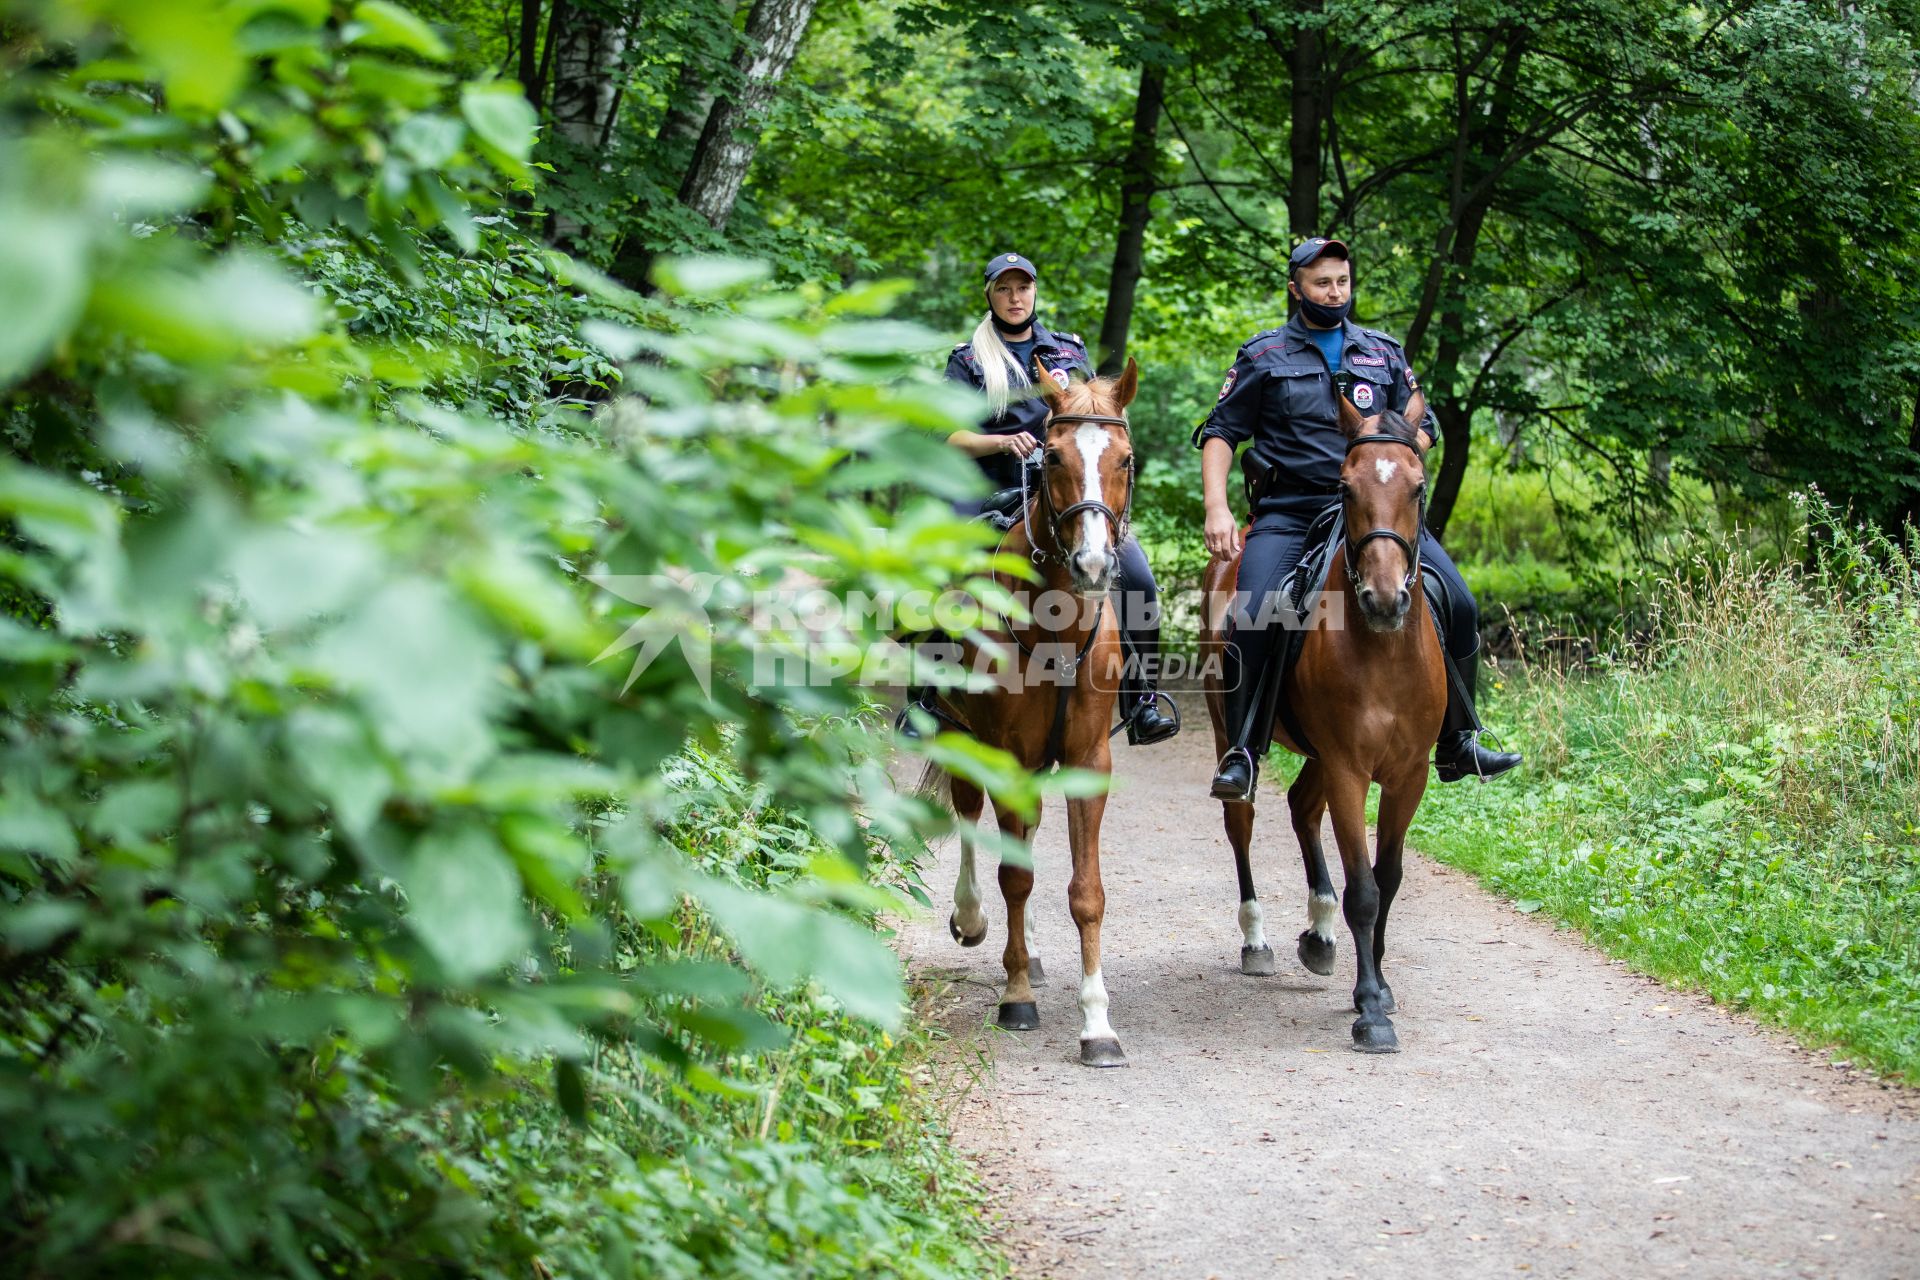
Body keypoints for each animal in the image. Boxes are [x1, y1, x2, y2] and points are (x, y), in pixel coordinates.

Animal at [913, 362, 1136, 1074]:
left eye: (1124, 458)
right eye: (1054, 457)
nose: (1092, 564)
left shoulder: (1089, 761)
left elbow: (1085, 892)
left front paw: (1098, 1025)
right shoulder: (1004, 753)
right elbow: (1013, 876)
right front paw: (1015, 998)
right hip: (958, 734)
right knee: (970, 818)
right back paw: (972, 920)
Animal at [1198, 395, 1443, 1059]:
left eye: (1417, 487)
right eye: (1345, 487)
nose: (1384, 599)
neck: (1383, 653)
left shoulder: (1408, 776)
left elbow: (1388, 878)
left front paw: (1378, 985)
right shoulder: (1350, 771)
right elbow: (1364, 890)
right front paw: (1370, 1011)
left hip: (1318, 758)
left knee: (1303, 809)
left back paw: (1321, 932)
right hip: (1236, 735)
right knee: (1242, 824)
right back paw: (1258, 940)